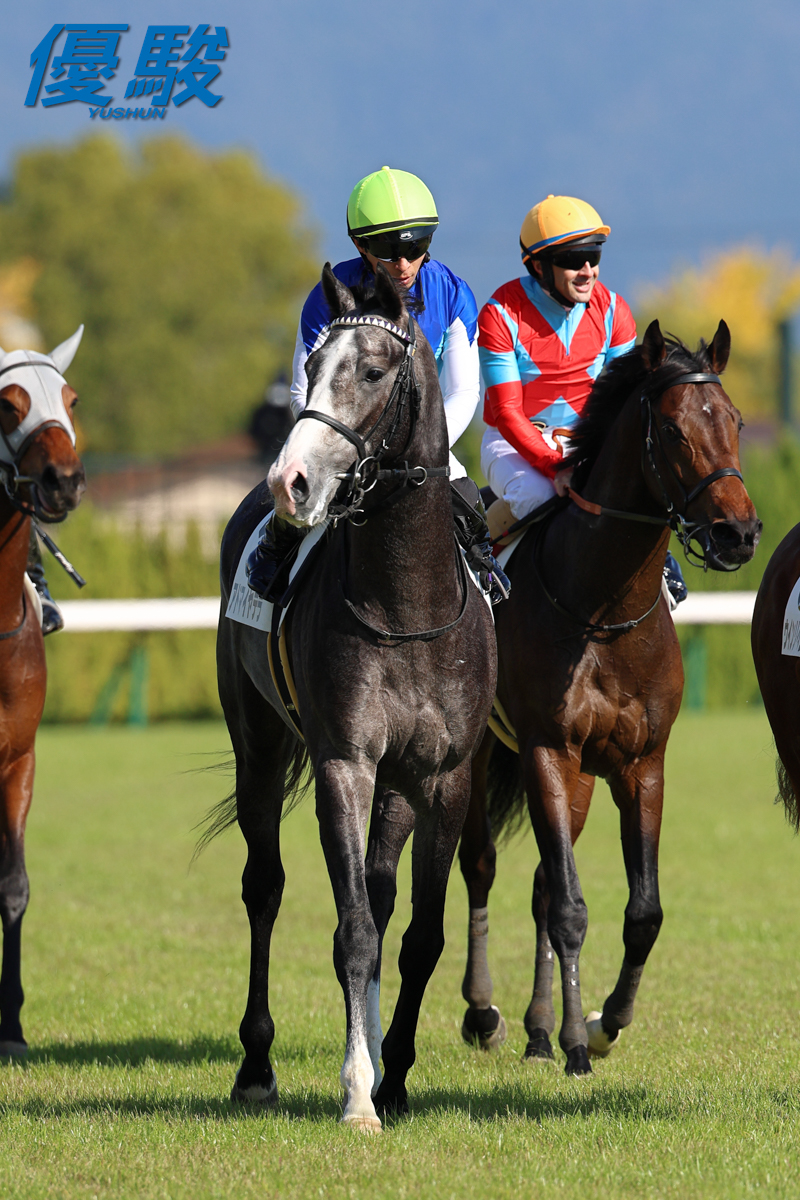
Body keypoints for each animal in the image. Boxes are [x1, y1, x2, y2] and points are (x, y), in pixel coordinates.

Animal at [215, 263, 496, 1130]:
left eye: (372, 371)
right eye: (311, 365)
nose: (292, 481)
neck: (406, 606)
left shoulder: (443, 776)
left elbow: (417, 936)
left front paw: (392, 1076)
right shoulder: (344, 763)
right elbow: (354, 936)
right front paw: (356, 1094)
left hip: (400, 785)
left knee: (379, 888)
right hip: (257, 744)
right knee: (263, 888)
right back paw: (257, 1064)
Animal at [452, 319, 762, 1074]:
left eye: (736, 421)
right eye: (675, 429)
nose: (739, 533)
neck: (604, 607)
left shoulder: (640, 763)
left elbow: (640, 912)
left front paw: (601, 1023)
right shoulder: (546, 749)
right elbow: (570, 906)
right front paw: (579, 1042)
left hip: (584, 779)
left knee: (540, 884)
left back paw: (543, 1028)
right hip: (482, 756)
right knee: (481, 866)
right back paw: (485, 1013)